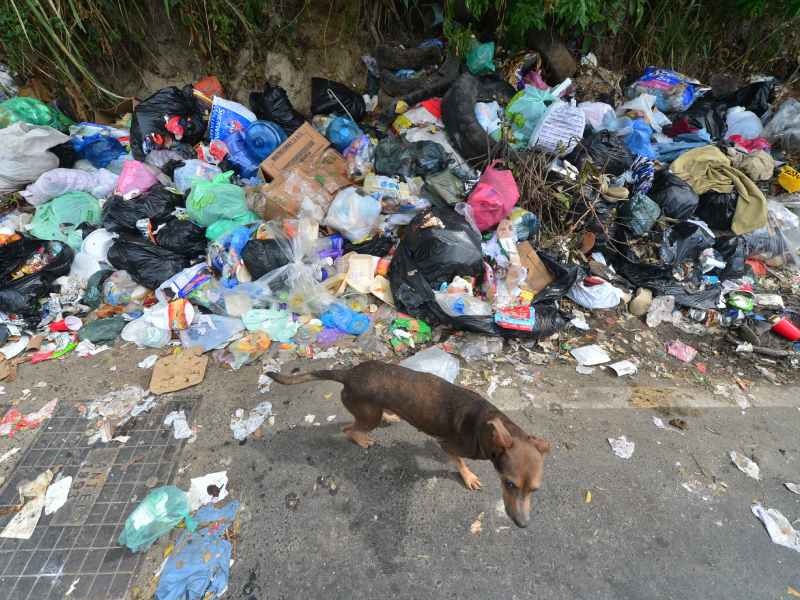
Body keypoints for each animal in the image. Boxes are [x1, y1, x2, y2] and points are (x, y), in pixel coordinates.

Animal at [268, 360, 552, 524]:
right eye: (509, 484)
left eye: (535, 490)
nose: (523, 524)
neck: (487, 423)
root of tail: (348, 373)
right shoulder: (449, 446)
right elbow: (459, 463)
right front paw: (468, 476)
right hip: (368, 416)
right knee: (349, 429)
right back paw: (361, 440)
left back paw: (390, 415)